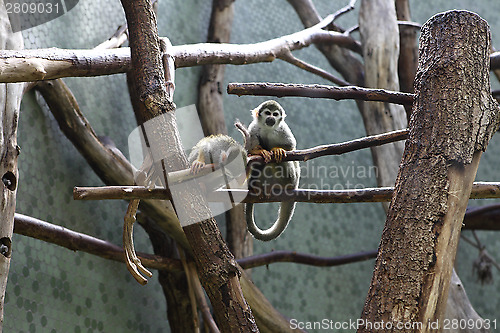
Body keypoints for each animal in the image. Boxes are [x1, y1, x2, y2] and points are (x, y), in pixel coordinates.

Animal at [246, 100, 300, 240]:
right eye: (267, 113)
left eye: (275, 114)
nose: (271, 118)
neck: (267, 128)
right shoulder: (254, 127)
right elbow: (249, 150)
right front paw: (258, 151)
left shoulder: (283, 128)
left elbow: (291, 146)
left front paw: (277, 150)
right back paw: (256, 186)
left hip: (292, 179)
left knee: (282, 161)